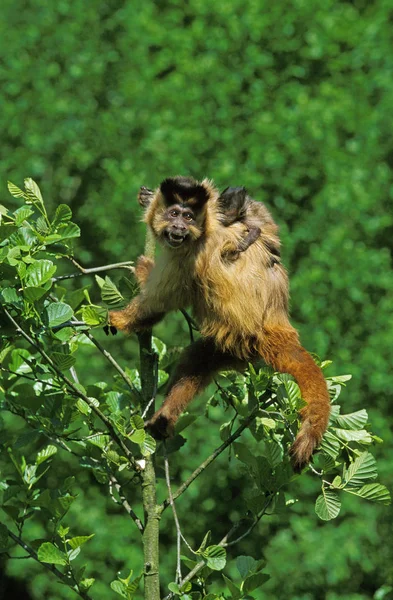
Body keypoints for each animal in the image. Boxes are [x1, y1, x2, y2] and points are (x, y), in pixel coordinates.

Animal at [109, 176, 328, 466]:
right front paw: (146, 198)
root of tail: (277, 325)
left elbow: (157, 304)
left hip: (240, 336)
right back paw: (165, 418)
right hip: (237, 349)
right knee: (199, 358)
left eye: (188, 217)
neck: (206, 227)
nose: (179, 227)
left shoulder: (192, 253)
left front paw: (121, 316)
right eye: (174, 214)